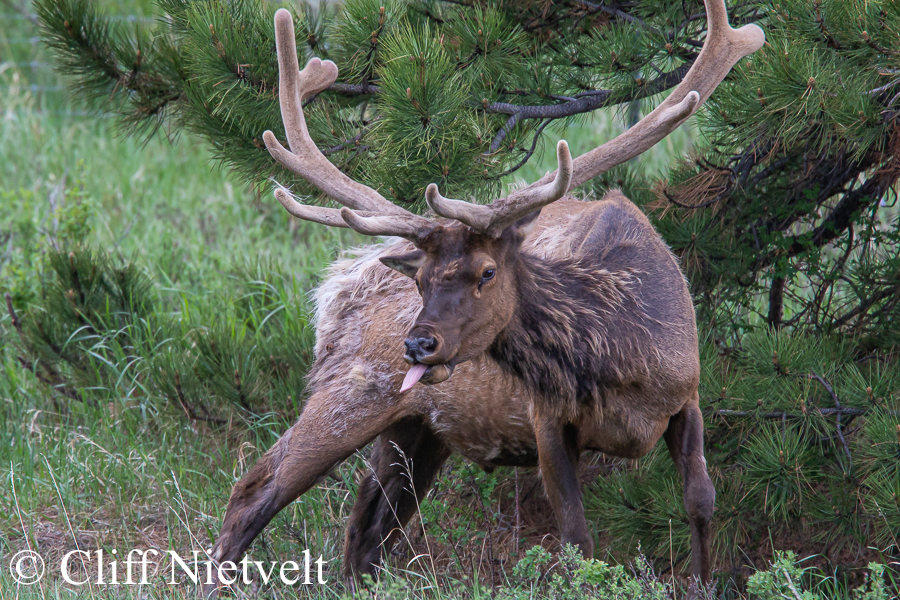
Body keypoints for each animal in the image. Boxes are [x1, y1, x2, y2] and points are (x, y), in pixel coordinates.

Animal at [207, 2, 764, 596]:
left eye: (487, 272)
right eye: (423, 280)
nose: (418, 344)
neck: (623, 359)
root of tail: (337, 290)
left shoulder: (688, 394)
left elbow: (700, 501)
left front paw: (705, 582)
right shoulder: (547, 417)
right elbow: (576, 539)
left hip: (417, 425)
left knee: (366, 524)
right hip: (351, 390)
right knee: (253, 490)